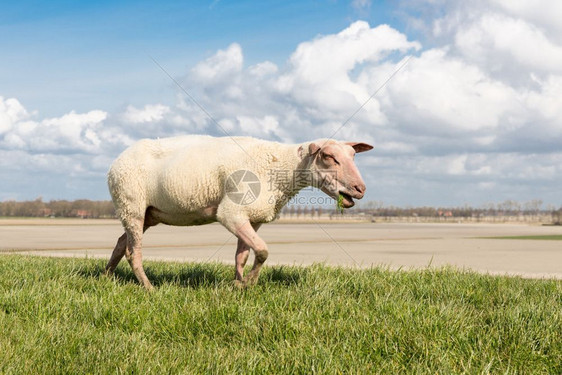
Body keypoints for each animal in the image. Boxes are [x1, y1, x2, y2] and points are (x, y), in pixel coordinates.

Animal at [105, 136, 372, 290]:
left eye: (353, 156)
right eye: (328, 156)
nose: (360, 189)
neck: (282, 169)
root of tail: (116, 161)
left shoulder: (252, 217)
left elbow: (243, 255)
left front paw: (237, 283)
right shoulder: (230, 212)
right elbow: (263, 250)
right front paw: (249, 283)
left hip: (148, 213)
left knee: (120, 243)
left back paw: (106, 276)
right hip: (131, 204)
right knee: (133, 252)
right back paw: (149, 288)